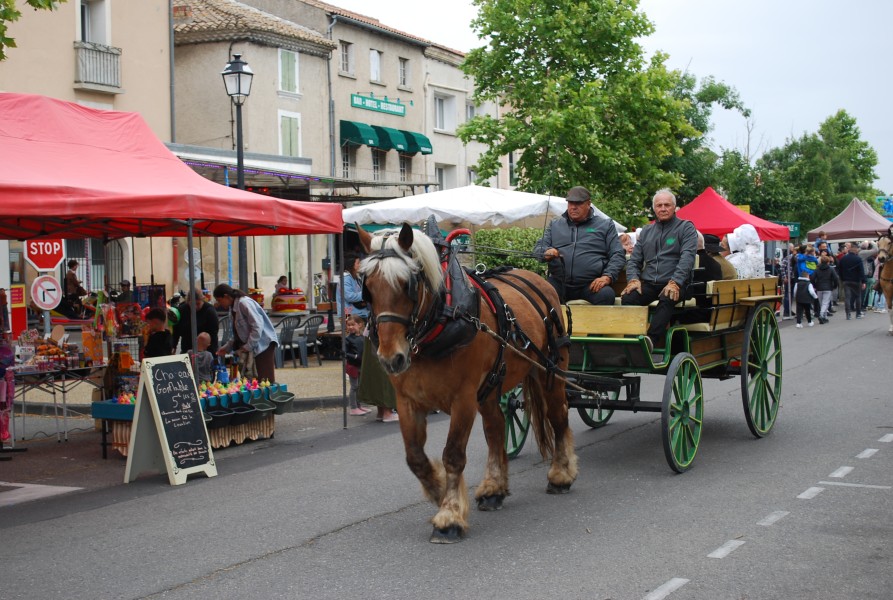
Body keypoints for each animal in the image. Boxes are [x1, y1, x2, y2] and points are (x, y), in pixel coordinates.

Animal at [358, 223, 580, 540]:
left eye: (406, 284)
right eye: (369, 288)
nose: (391, 358)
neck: (440, 323)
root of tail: (540, 280)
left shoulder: (462, 399)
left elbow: (452, 454)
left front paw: (449, 515)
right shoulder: (408, 401)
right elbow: (415, 457)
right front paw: (439, 491)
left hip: (550, 371)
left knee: (557, 416)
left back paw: (561, 475)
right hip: (491, 387)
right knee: (497, 427)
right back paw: (494, 489)